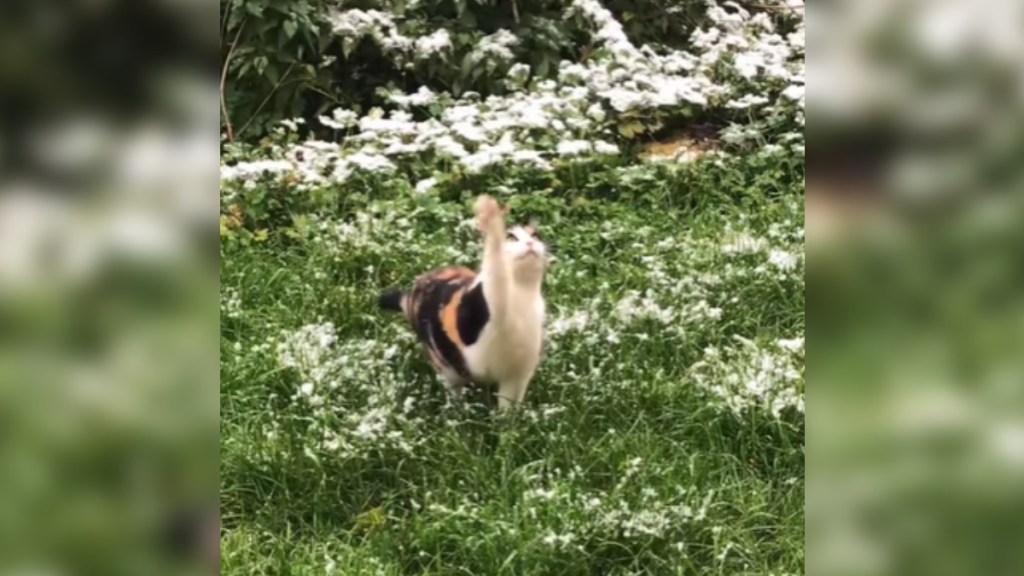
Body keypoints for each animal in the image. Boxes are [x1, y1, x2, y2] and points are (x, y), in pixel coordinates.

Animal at [380, 194, 548, 409]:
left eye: (535, 236)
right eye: (511, 237)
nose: (530, 244)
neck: (522, 293)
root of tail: (411, 295)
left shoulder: (517, 374)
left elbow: (509, 405)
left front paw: (510, 417)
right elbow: (496, 269)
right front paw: (490, 215)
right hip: (445, 364)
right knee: (454, 388)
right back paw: (458, 409)